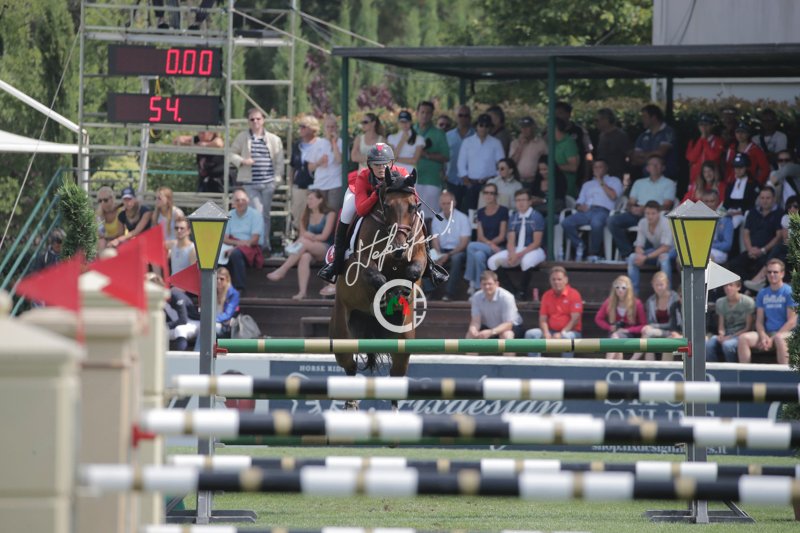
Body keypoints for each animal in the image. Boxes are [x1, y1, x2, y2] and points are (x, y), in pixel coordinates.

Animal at [329, 169, 427, 408]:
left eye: (413, 207)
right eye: (388, 206)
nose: (399, 249)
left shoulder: (419, 255)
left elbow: (414, 271)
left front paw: (401, 293)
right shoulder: (364, 263)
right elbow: (378, 277)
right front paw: (388, 295)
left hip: (404, 341)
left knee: (396, 376)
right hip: (342, 334)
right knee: (350, 367)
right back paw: (351, 405)